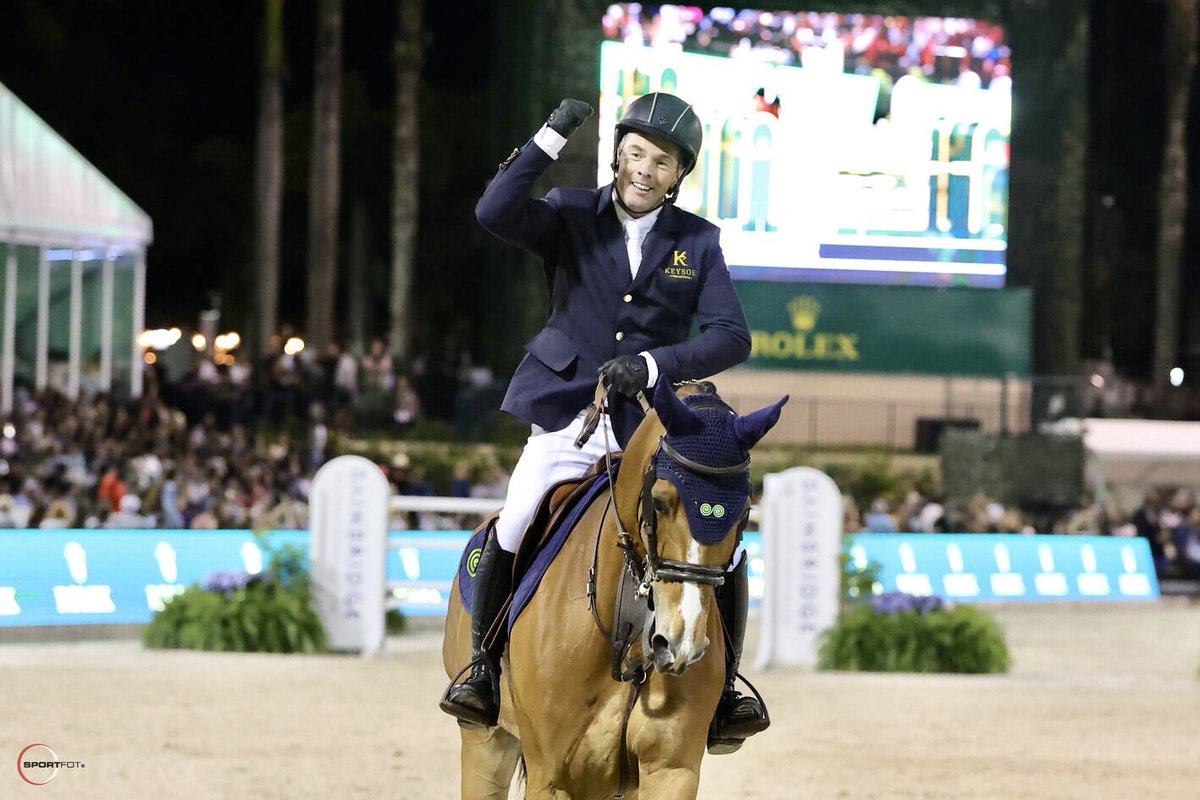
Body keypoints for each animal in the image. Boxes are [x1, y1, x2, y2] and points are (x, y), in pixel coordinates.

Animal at [444, 383, 787, 800]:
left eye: (744, 514)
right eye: (660, 502)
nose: (680, 643)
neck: (625, 634)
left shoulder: (671, 771)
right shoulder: (550, 779)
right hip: (486, 744)